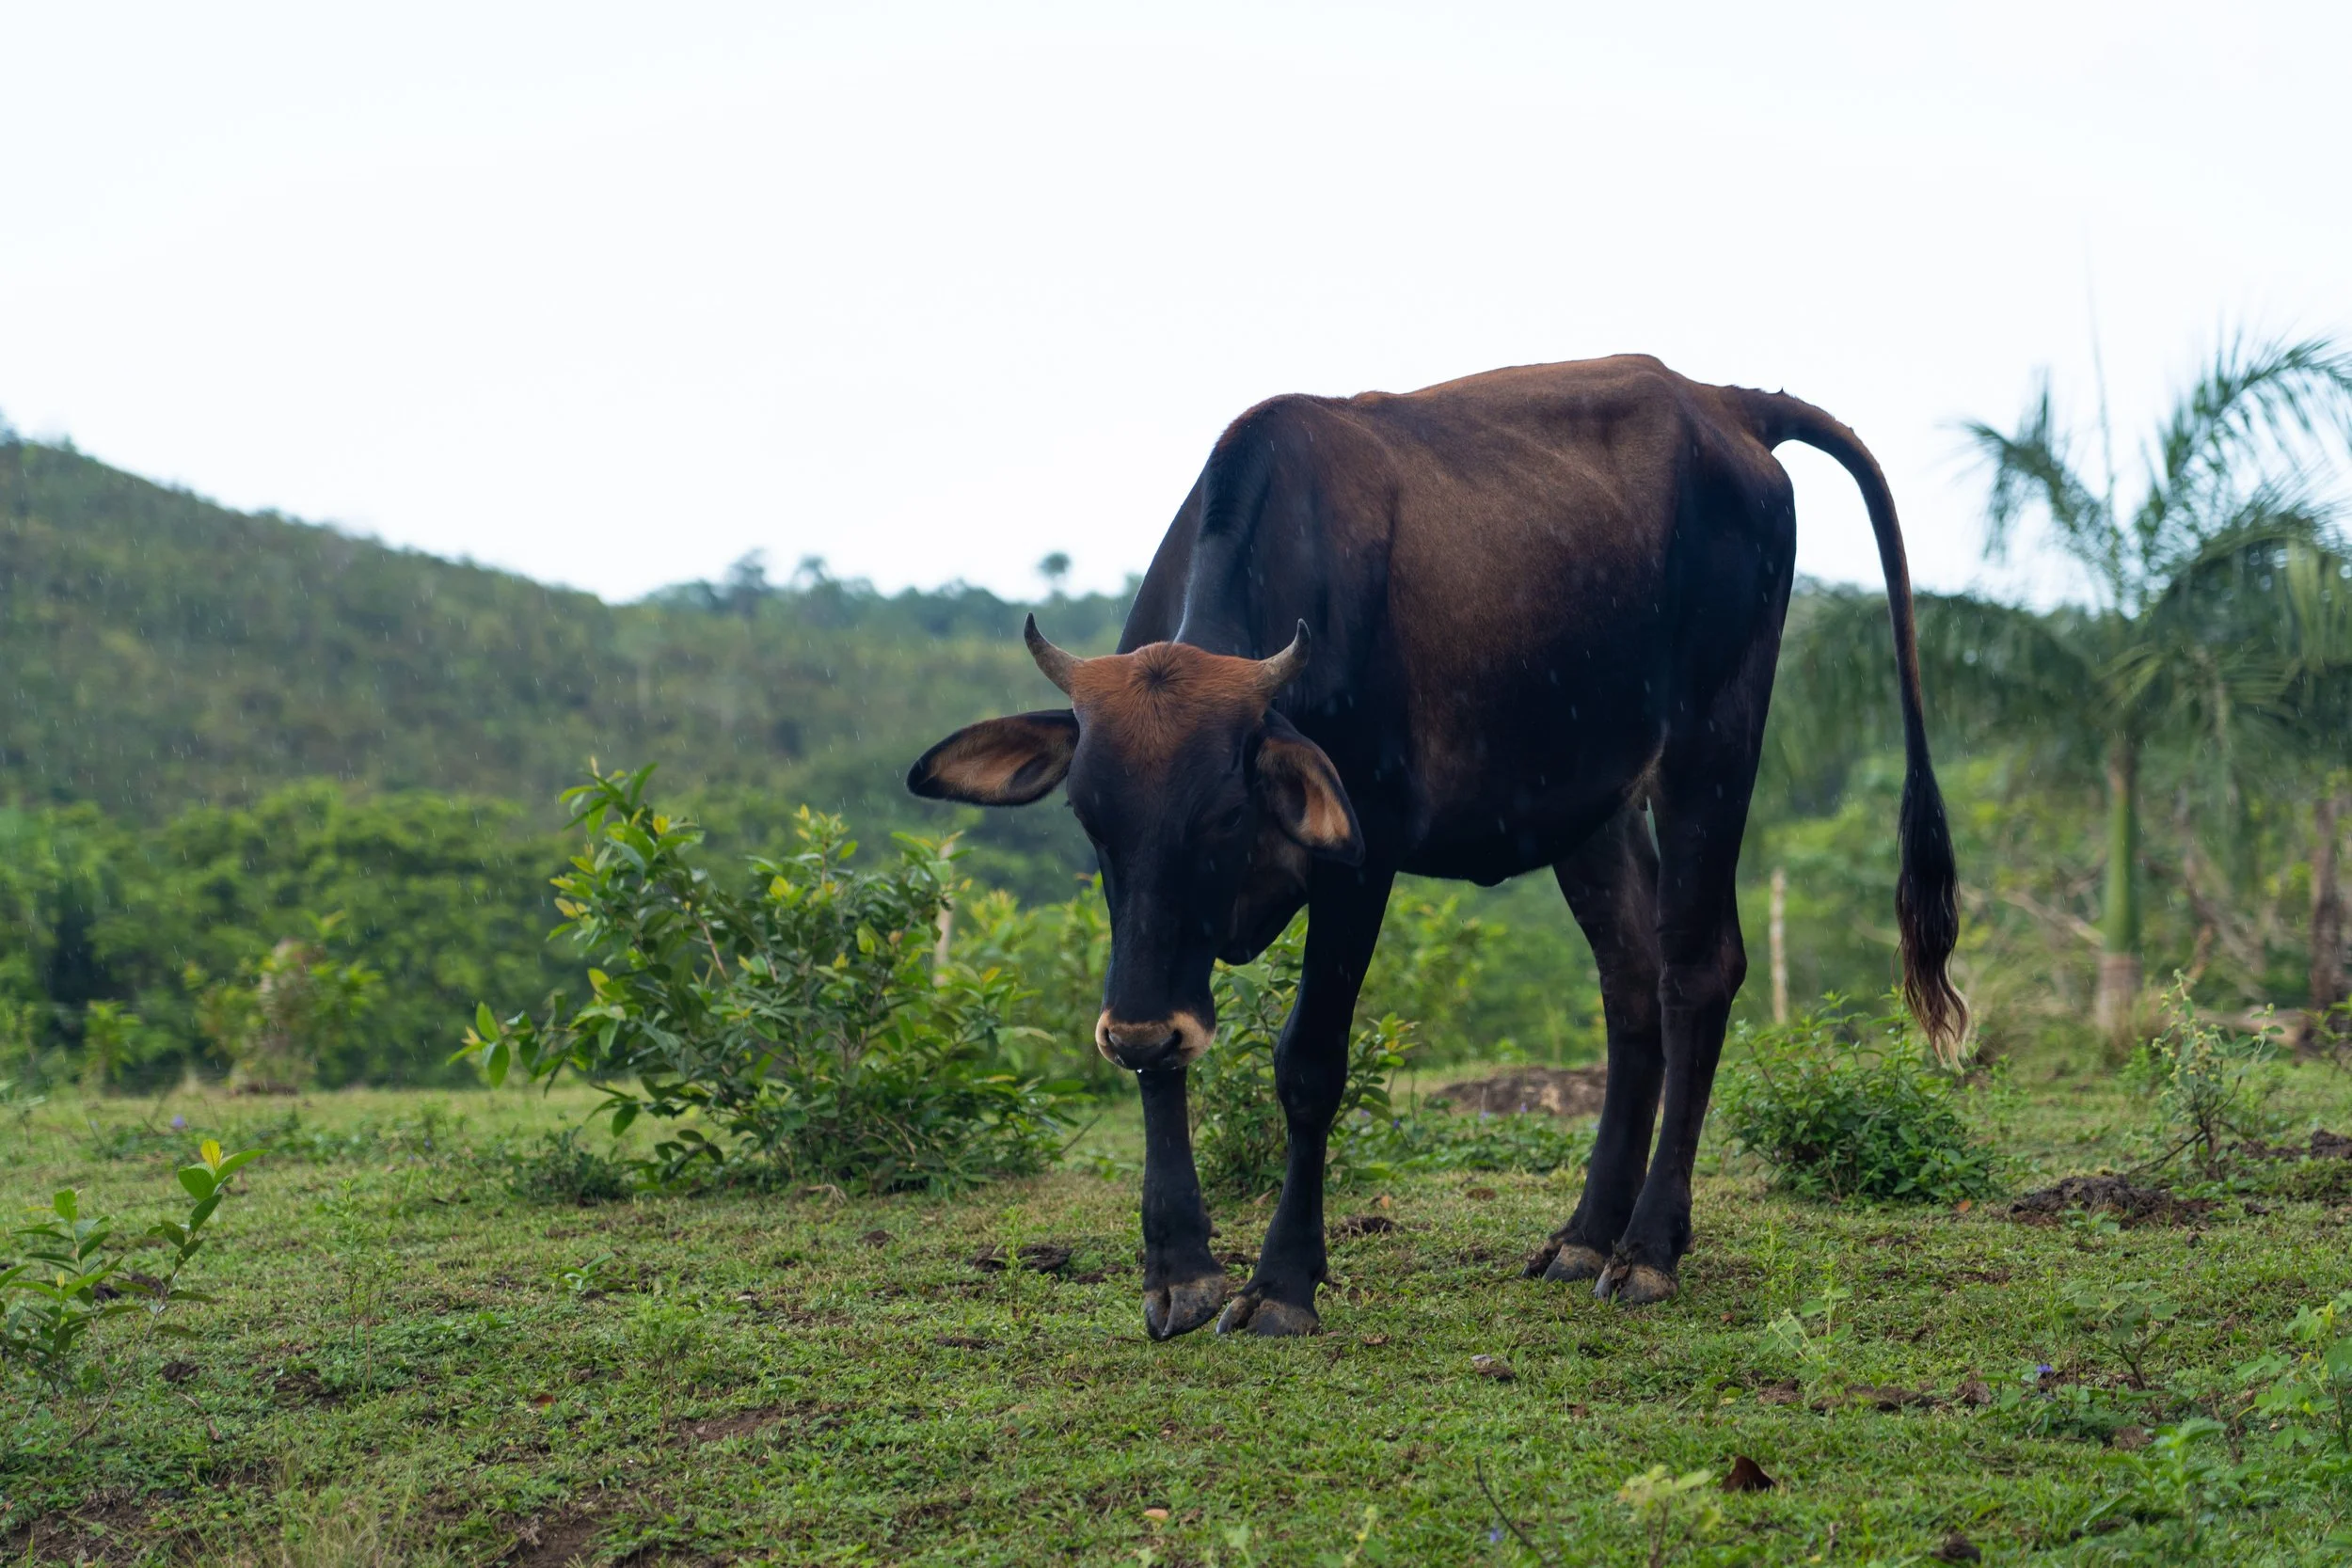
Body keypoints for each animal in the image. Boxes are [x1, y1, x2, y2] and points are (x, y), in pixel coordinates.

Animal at [908, 355, 1963, 1338]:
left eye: (1222, 815)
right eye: (1093, 819)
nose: (1129, 1031)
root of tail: (1725, 403)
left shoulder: (1361, 857)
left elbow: (1309, 1061)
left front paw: (1282, 1283)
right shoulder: (1149, 928)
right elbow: (1165, 1049)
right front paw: (1180, 1270)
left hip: (1715, 741)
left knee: (1696, 968)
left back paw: (1648, 1249)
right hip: (1591, 800)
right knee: (1629, 981)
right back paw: (1585, 1234)